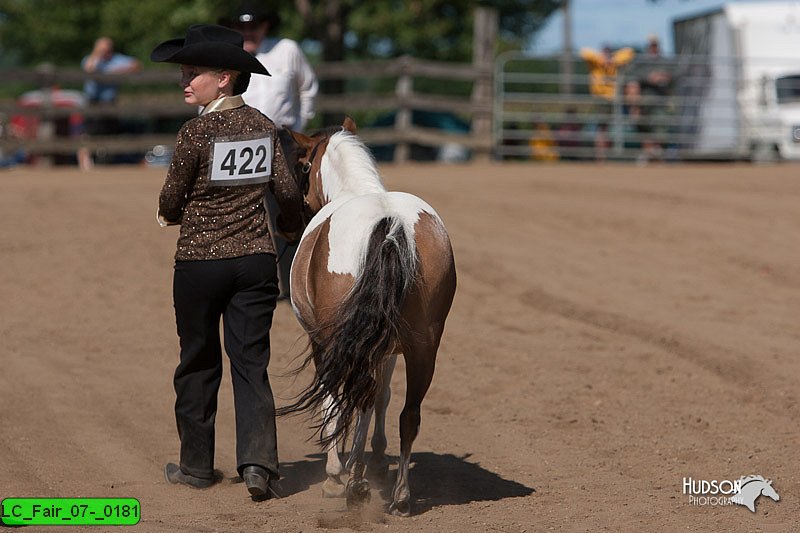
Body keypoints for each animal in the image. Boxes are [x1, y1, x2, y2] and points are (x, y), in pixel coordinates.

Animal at [280, 118, 456, 512]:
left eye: (302, 166)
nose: (292, 220)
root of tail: (391, 225)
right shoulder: (386, 348)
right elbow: (380, 397)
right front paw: (370, 464)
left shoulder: (326, 342)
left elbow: (336, 401)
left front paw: (339, 473)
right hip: (423, 346)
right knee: (408, 414)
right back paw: (400, 495)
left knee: (348, 398)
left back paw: (347, 482)